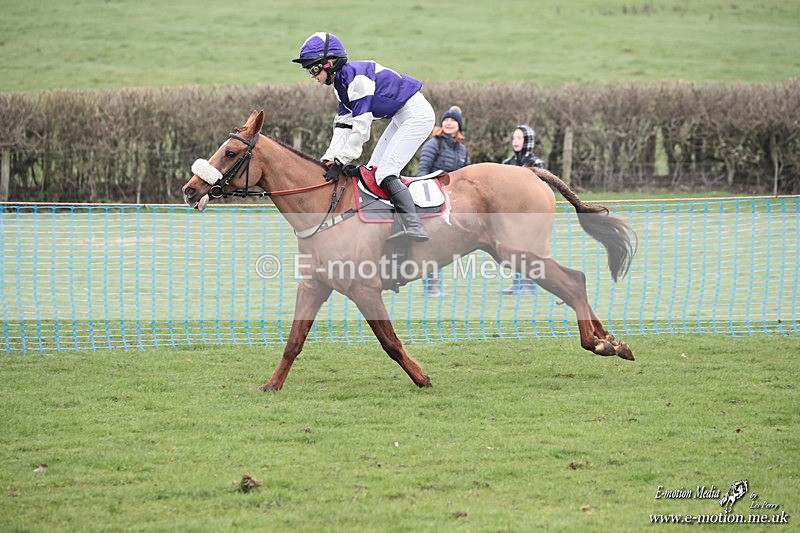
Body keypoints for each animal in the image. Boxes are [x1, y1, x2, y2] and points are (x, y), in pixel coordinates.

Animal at [182, 110, 637, 390]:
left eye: (232, 152)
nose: (190, 189)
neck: (324, 206)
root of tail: (531, 172)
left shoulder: (364, 290)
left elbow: (390, 341)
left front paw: (422, 377)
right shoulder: (314, 285)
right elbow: (294, 340)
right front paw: (272, 385)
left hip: (521, 253)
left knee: (573, 281)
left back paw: (598, 342)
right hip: (515, 253)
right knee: (573, 284)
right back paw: (611, 340)